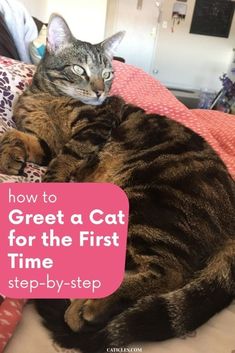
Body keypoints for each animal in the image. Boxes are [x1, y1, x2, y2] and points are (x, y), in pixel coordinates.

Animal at [0, 13, 235, 352]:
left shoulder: (93, 128)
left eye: (108, 73)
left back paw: (88, 307)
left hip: (149, 200)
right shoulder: (45, 143)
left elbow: (65, 158)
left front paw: (53, 180)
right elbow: (14, 134)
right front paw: (10, 157)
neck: (47, 97)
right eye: (79, 69)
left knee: (169, 272)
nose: (100, 92)